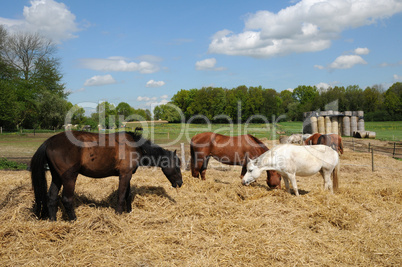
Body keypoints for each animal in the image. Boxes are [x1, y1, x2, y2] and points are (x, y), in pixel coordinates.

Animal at [31, 132, 182, 222]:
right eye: (177, 166)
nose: (180, 183)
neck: (133, 146)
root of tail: (49, 141)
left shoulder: (127, 176)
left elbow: (127, 195)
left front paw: (129, 212)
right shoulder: (124, 175)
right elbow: (121, 195)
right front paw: (118, 214)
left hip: (57, 177)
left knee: (51, 197)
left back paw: (53, 220)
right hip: (69, 178)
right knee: (67, 199)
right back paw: (74, 220)